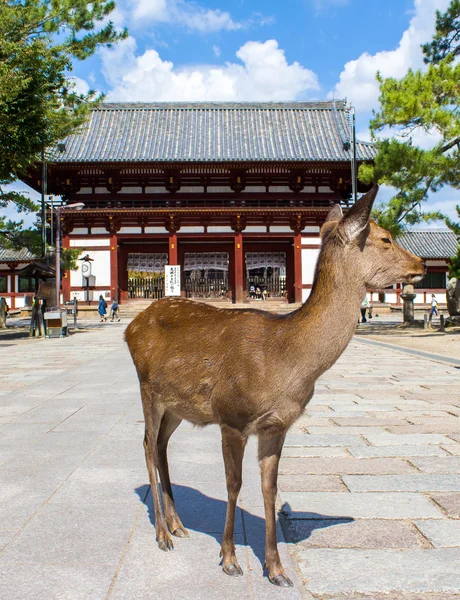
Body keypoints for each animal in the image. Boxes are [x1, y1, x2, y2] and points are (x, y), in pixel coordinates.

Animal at [125, 185, 424, 588]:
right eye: (385, 238)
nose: (421, 264)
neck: (286, 361)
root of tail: (130, 328)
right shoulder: (233, 417)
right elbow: (234, 484)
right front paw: (229, 559)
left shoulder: (276, 426)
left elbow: (270, 487)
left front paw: (277, 569)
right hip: (148, 390)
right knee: (145, 444)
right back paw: (161, 534)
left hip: (177, 406)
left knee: (160, 445)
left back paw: (177, 525)